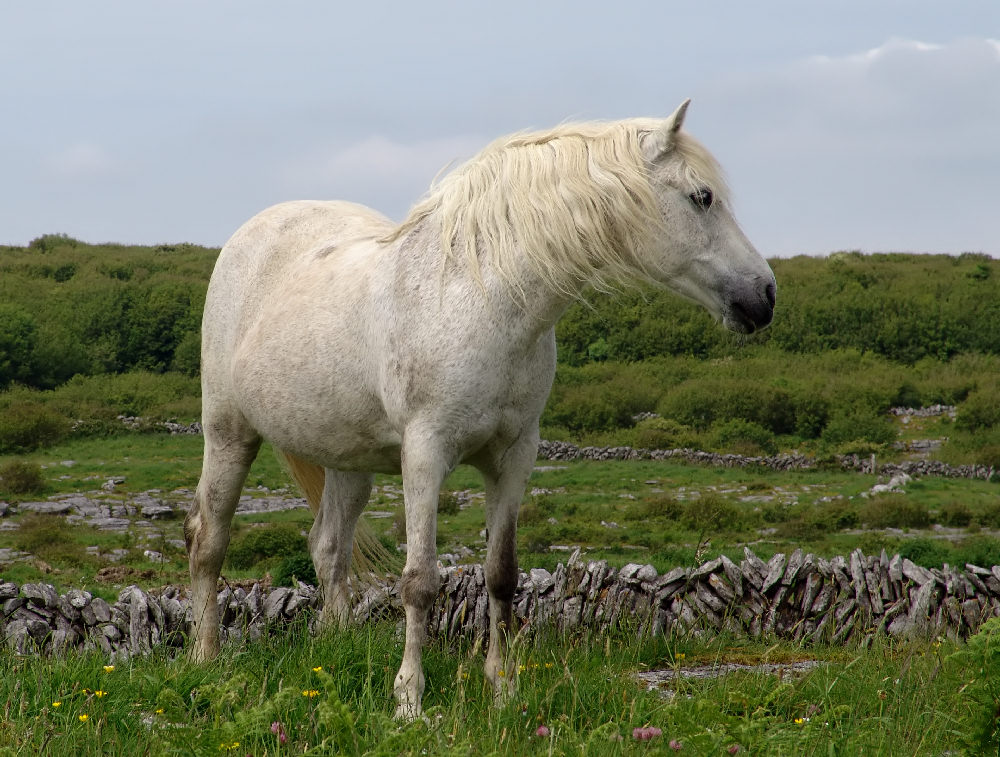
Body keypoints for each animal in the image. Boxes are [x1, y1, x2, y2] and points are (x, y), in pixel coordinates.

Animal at [186, 102, 772, 720]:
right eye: (702, 197)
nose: (765, 296)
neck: (483, 298)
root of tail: (251, 235)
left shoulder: (515, 456)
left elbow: (501, 575)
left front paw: (502, 687)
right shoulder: (425, 453)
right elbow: (420, 579)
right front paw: (410, 699)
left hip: (348, 461)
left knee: (329, 548)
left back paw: (337, 648)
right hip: (228, 434)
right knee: (209, 541)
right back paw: (205, 657)